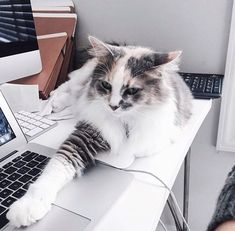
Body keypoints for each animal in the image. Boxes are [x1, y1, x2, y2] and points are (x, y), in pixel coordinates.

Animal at [6, 36, 192, 227]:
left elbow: (131, 148)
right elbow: (55, 169)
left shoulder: (160, 134)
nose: (113, 106)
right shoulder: (85, 135)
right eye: (105, 85)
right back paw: (57, 102)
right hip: (81, 79)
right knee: (68, 87)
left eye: (132, 90)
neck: (123, 120)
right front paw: (27, 207)